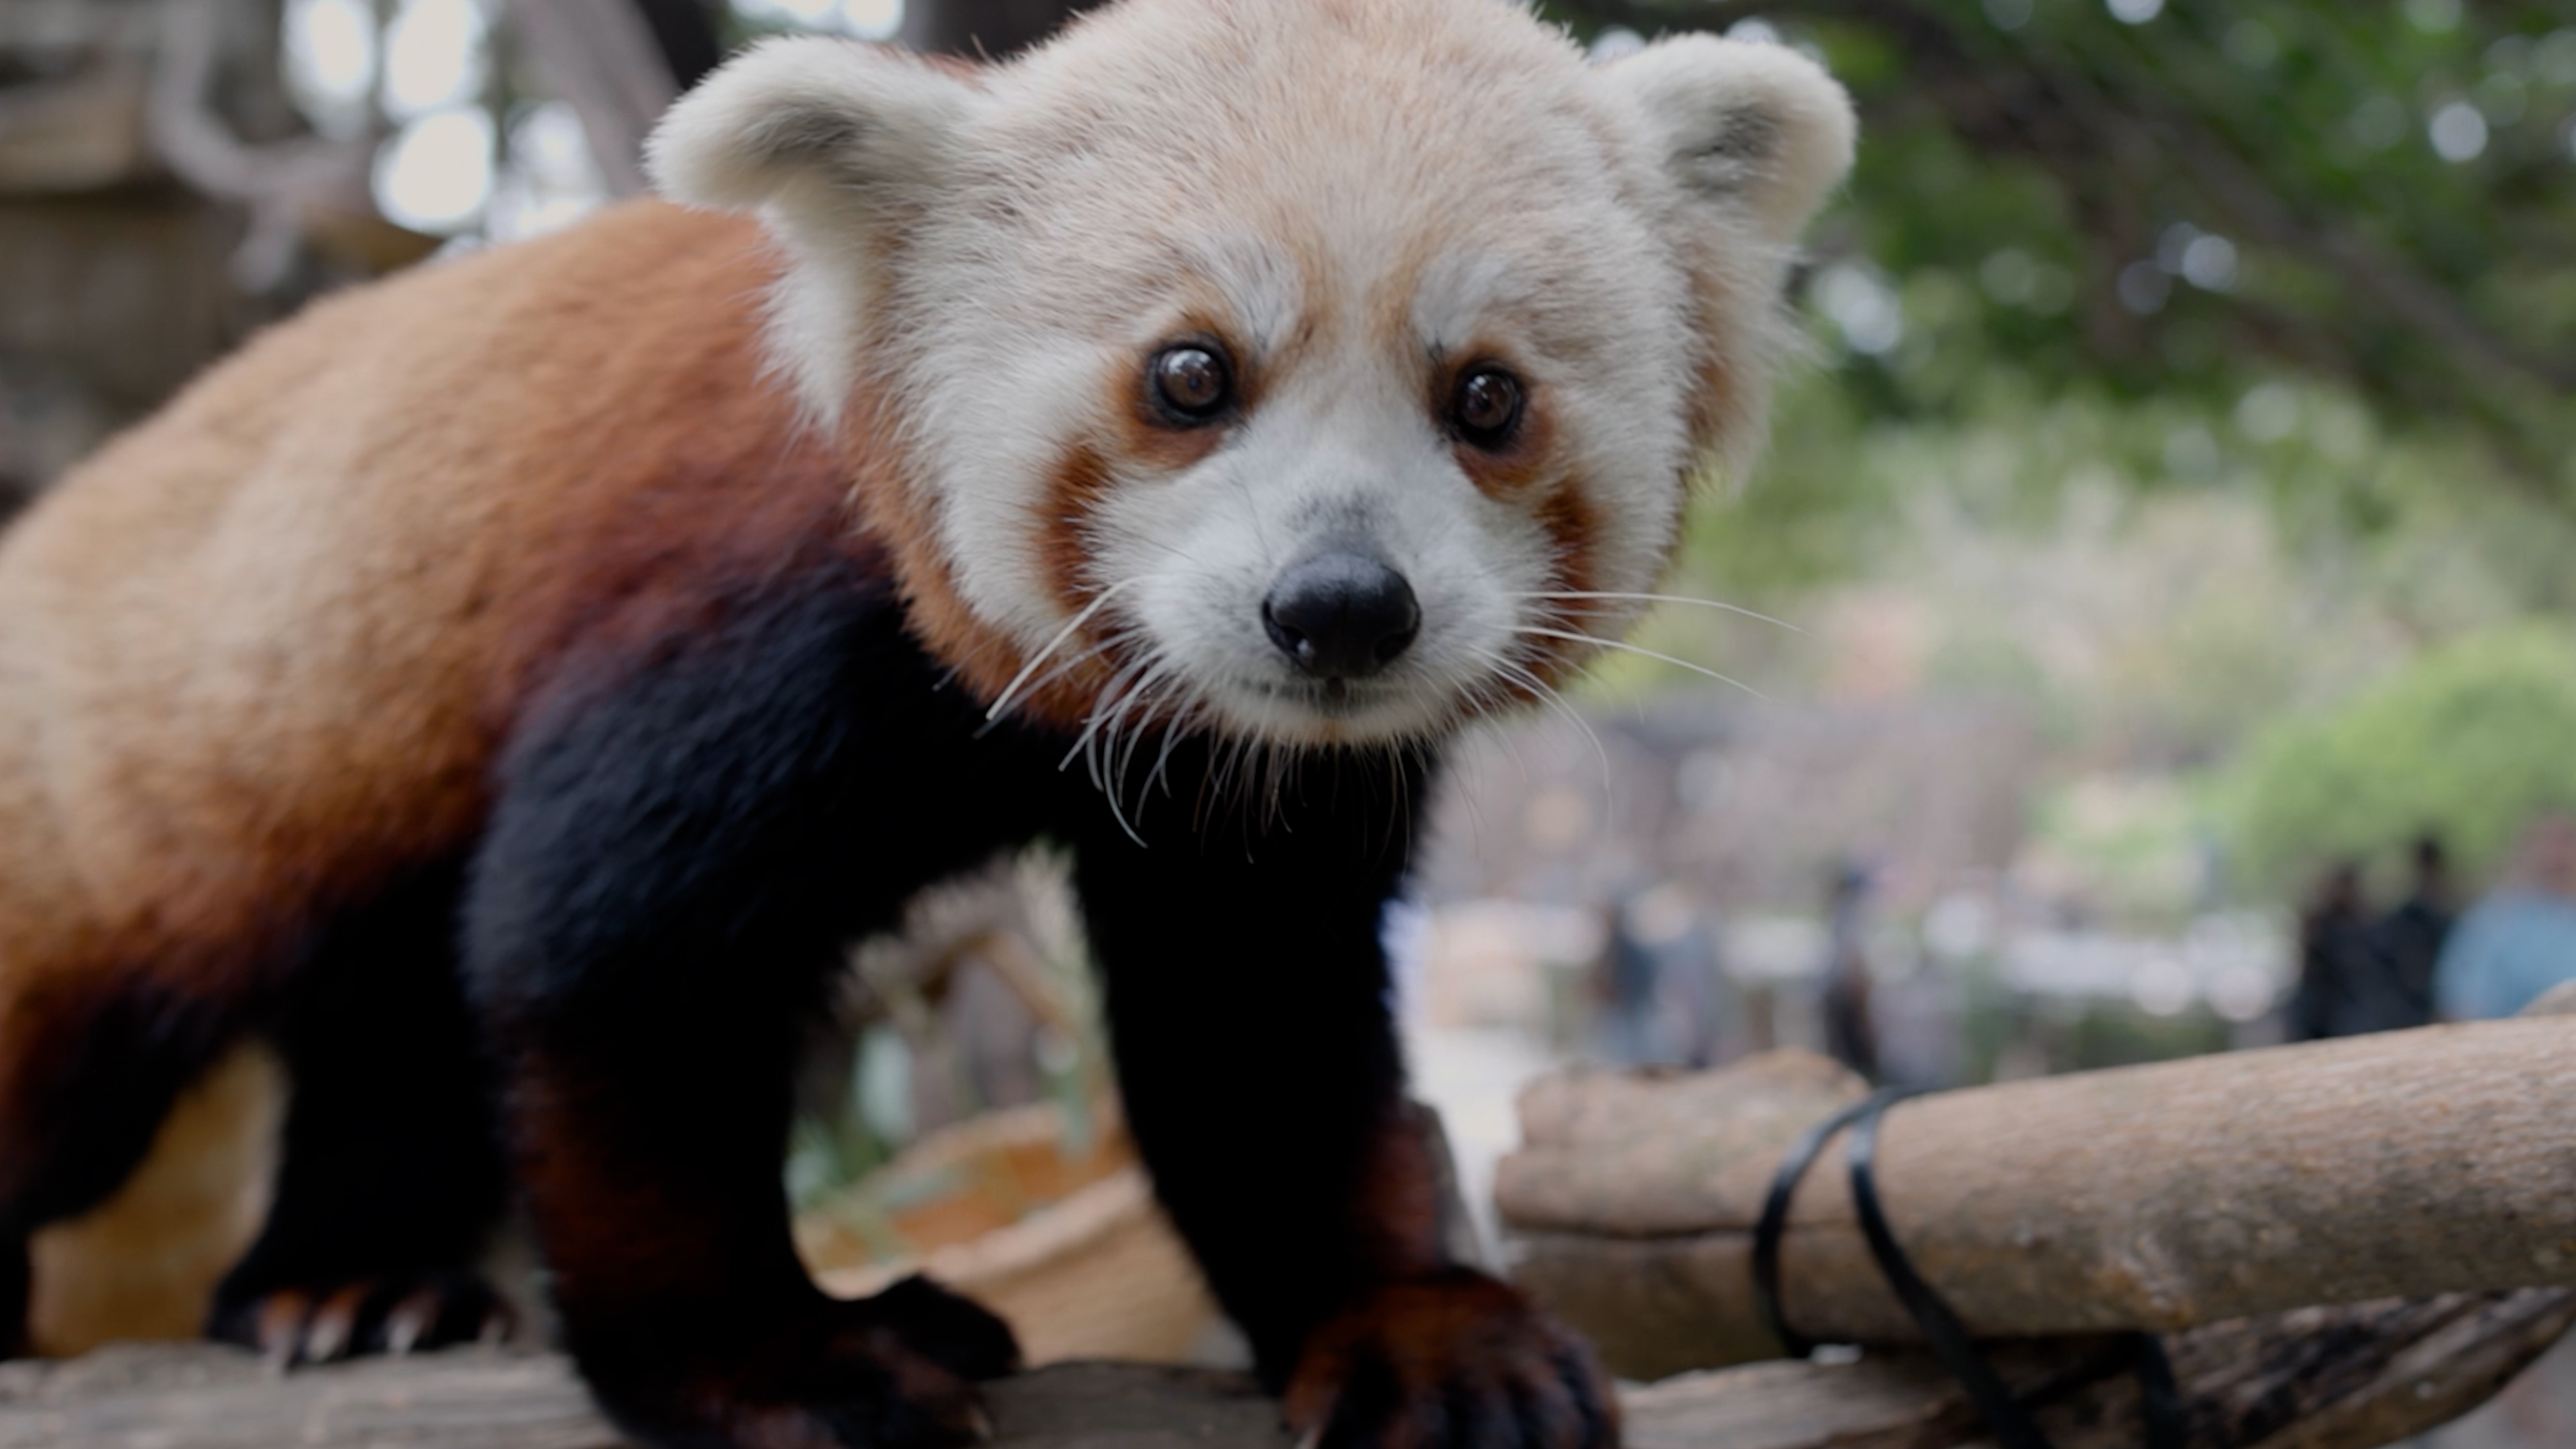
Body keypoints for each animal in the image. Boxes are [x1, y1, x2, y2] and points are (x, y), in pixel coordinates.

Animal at [0, 0, 1853, 1444]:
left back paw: (344, 1286)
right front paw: (778, 1356)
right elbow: (610, 962)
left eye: (1486, 396)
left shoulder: (1248, 796)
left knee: (390, 1025)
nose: (1339, 608)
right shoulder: (739, 635)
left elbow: (1256, 1033)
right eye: (1191, 374)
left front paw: (1411, 1322)